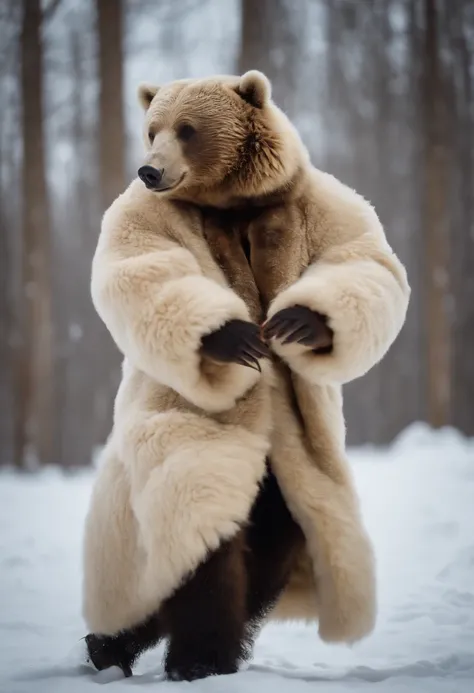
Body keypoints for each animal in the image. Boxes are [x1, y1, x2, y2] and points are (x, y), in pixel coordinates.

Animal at [83, 71, 410, 680]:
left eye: (187, 129)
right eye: (152, 129)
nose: (149, 170)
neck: (232, 204)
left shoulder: (311, 202)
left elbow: (365, 262)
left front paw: (297, 321)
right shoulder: (145, 214)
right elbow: (142, 265)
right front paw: (234, 336)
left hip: (293, 466)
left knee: (278, 539)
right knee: (197, 511)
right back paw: (136, 644)